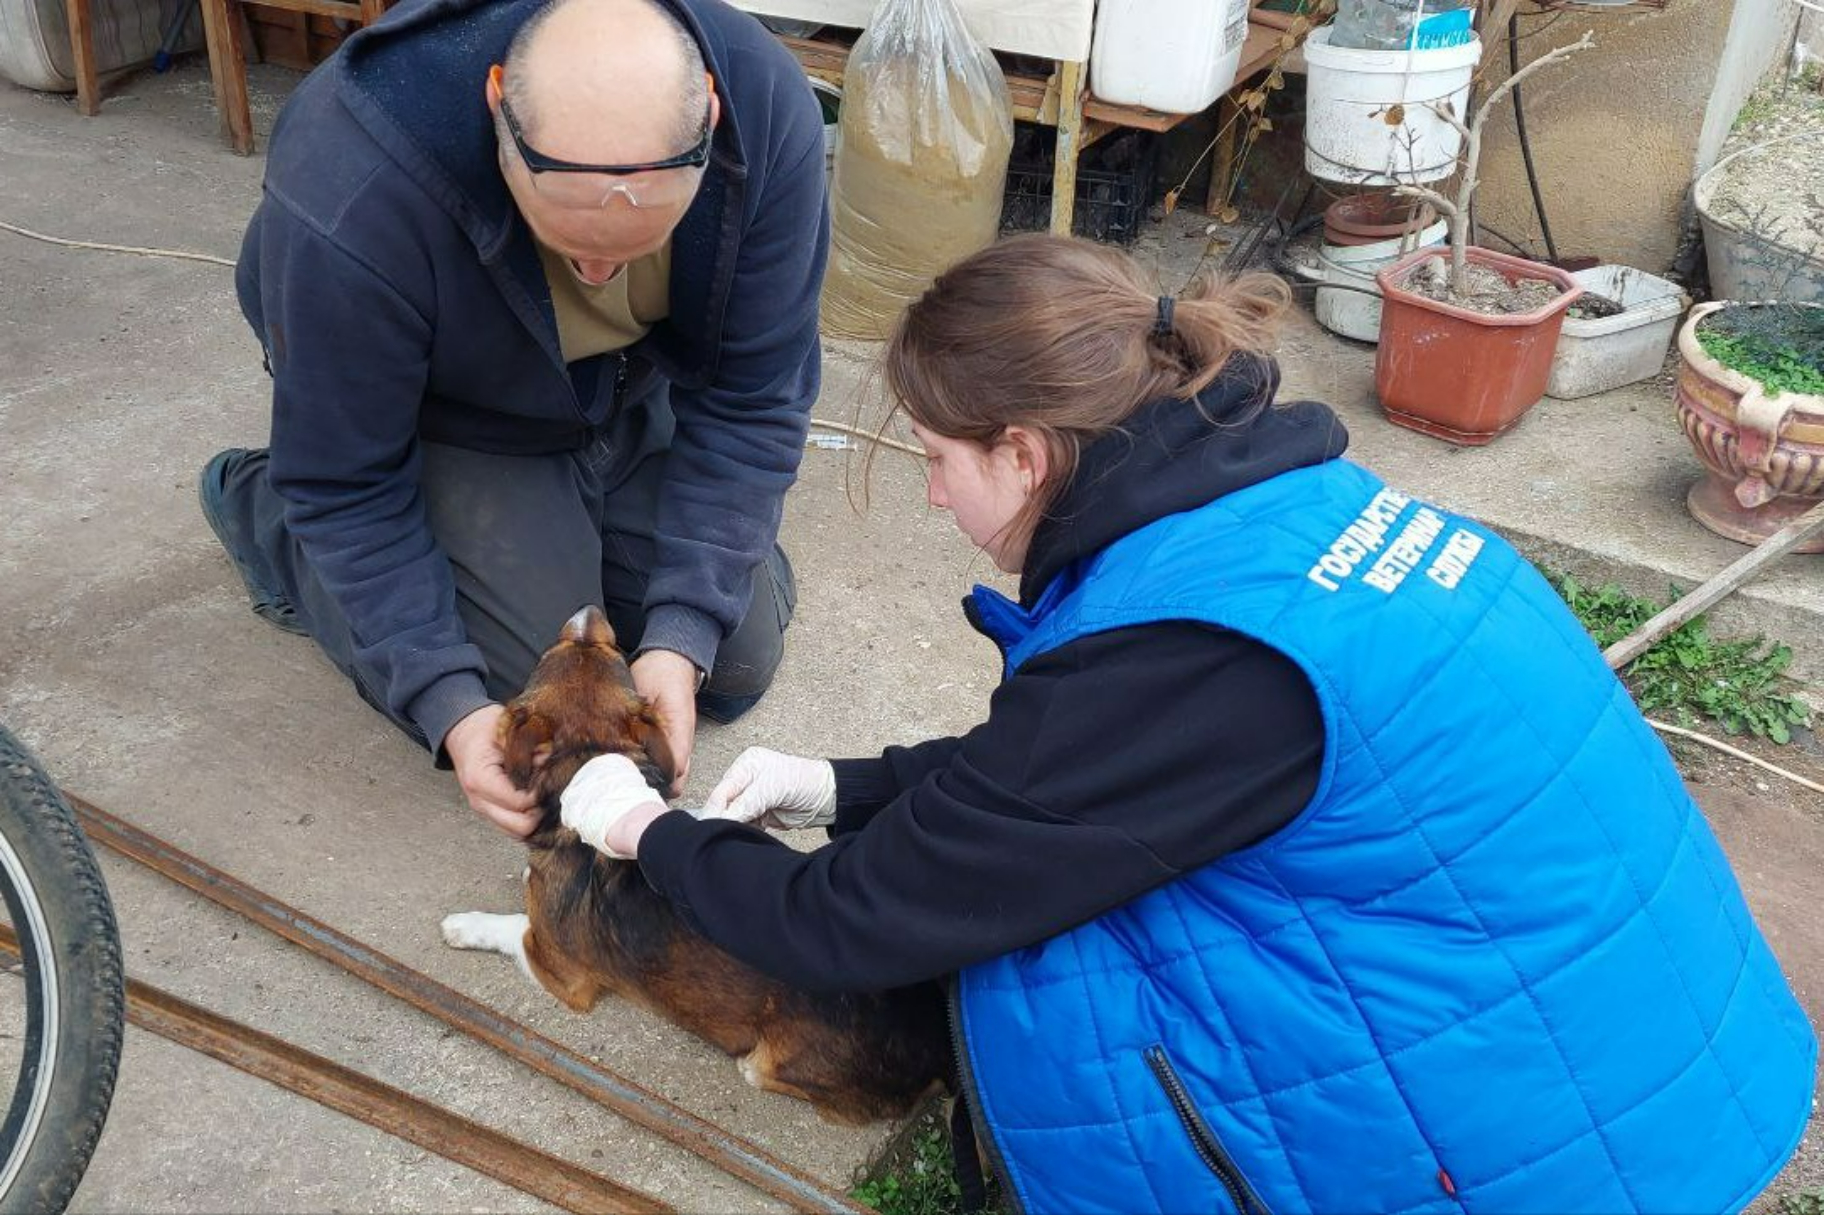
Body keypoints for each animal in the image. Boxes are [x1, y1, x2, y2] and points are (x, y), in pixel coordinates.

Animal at [441, 602, 948, 1123]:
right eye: (613, 657)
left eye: (549, 653)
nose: (591, 610)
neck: (591, 754)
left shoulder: (557, 968)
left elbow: (512, 927)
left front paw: (465, 925)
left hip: (778, 1064)